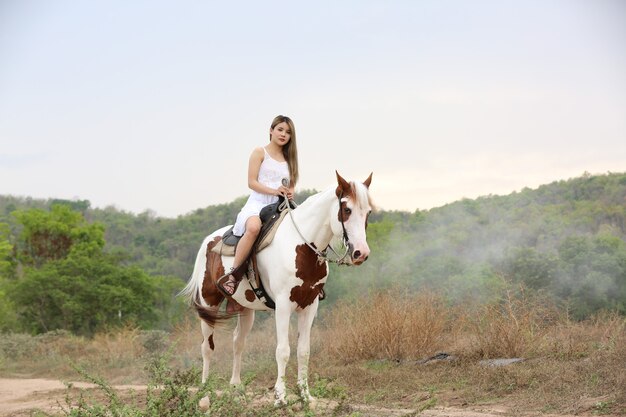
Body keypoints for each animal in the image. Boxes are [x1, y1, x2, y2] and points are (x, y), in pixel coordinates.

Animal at [178, 171, 370, 404]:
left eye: (368, 211)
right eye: (347, 209)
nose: (361, 253)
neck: (302, 246)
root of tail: (209, 239)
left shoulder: (310, 306)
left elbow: (303, 351)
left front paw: (306, 395)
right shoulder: (283, 306)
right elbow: (283, 350)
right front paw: (281, 396)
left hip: (246, 310)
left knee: (238, 342)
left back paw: (236, 387)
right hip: (209, 304)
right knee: (207, 346)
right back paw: (204, 389)